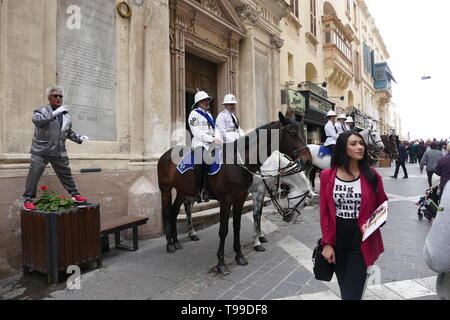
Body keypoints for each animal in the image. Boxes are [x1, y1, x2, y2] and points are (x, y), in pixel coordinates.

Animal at [156, 112, 312, 276]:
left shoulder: (241, 198)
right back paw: (170, 244)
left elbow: (238, 225)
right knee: (168, 212)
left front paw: (240, 255)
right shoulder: (228, 199)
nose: (308, 161)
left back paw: (176, 241)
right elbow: (224, 229)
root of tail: (165, 154)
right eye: (292, 133)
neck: (238, 164)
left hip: (182, 190)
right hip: (166, 189)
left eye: (303, 133)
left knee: (175, 211)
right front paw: (221, 263)